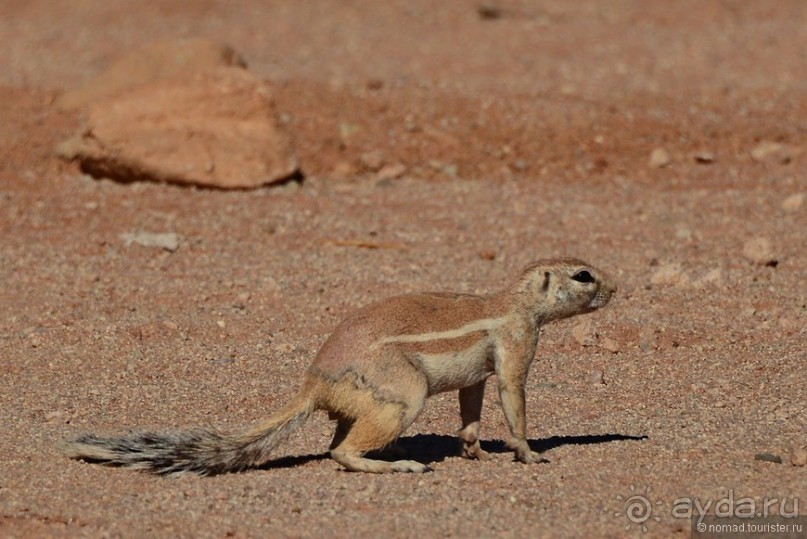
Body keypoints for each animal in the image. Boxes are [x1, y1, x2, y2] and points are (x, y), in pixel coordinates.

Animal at [63, 260, 620, 474]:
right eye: (583, 275)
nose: (617, 288)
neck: (517, 302)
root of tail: (314, 385)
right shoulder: (516, 346)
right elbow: (513, 398)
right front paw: (529, 453)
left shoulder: (474, 378)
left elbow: (471, 410)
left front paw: (474, 450)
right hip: (402, 394)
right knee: (341, 453)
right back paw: (398, 464)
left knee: (339, 440)